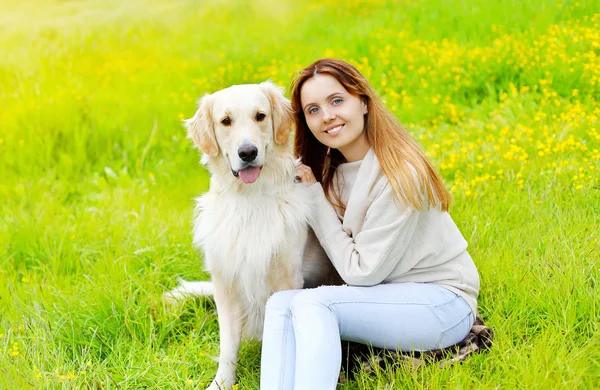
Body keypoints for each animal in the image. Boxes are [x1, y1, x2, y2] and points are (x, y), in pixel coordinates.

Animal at [164, 80, 342, 388]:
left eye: (260, 116)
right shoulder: (226, 283)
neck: (250, 199)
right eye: (225, 121)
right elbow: (227, 346)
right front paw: (221, 383)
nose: (247, 152)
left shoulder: (287, 279)